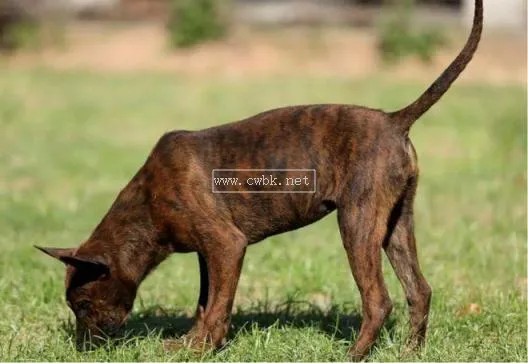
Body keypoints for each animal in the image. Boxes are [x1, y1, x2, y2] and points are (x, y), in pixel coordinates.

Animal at [36, 0, 482, 362]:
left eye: (82, 304)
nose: (81, 349)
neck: (147, 206)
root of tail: (394, 120)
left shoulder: (227, 246)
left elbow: (218, 305)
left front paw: (200, 350)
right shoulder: (210, 254)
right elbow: (206, 302)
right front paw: (194, 343)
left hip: (357, 225)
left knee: (378, 300)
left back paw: (354, 354)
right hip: (395, 226)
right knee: (419, 291)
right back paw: (410, 352)